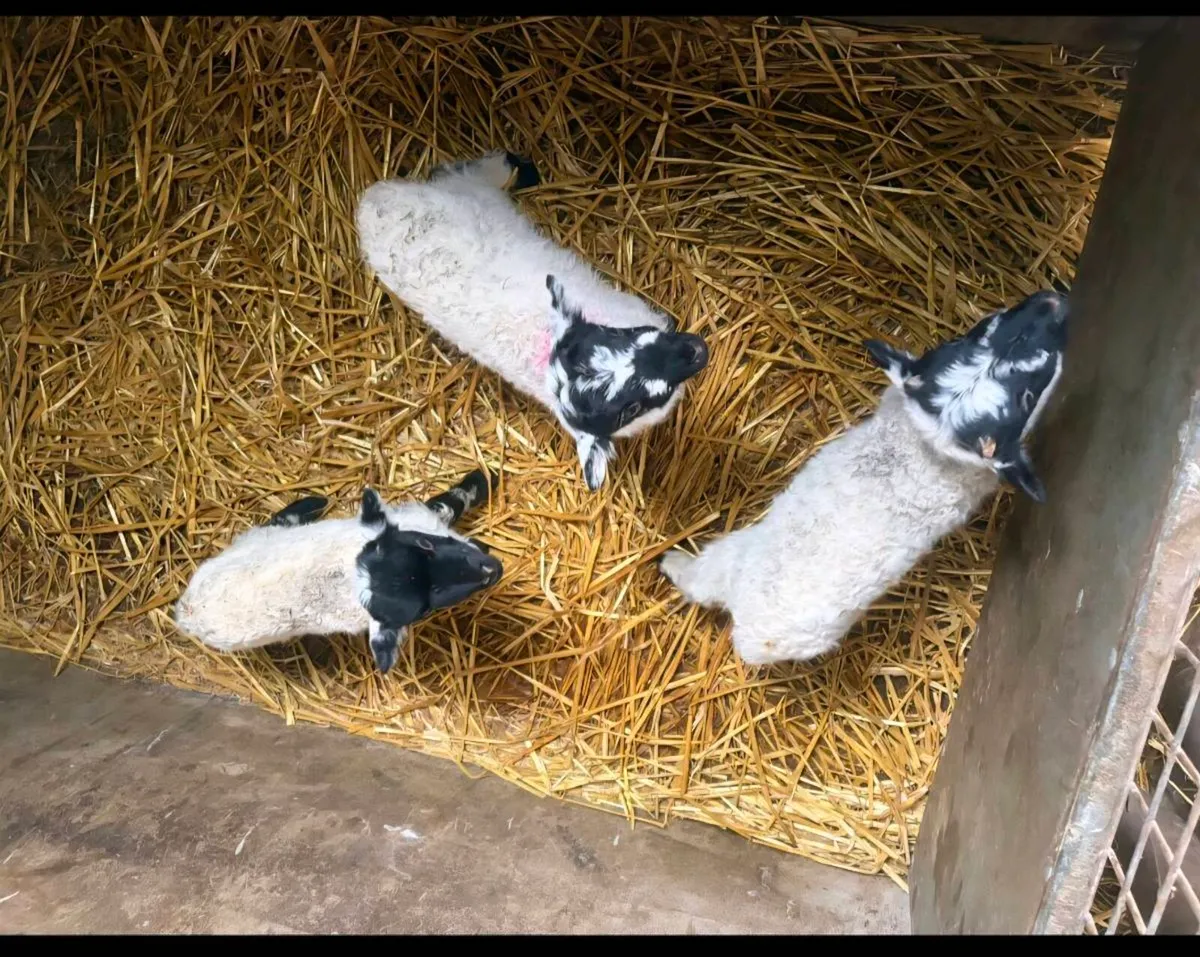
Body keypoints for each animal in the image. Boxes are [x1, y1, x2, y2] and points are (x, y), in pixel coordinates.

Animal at [173, 469, 504, 674]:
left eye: (425, 544)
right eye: (423, 609)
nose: (494, 569)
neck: (348, 572)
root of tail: (185, 610)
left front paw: (485, 480)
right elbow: (448, 505)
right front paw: (485, 481)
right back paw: (310, 505)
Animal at [354, 150, 711, 492]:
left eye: (619, 336)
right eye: (630, 409)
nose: (696, 350)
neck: (544, 347)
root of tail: (373, 203)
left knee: (452, 170)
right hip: (472, 192)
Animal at [658, 289, 1070, 667]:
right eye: (1025, 396)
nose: (1053, 301)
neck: (924, 444)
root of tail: (743, 603)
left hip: (728, 556)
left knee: (698, 581)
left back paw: (671, 563)